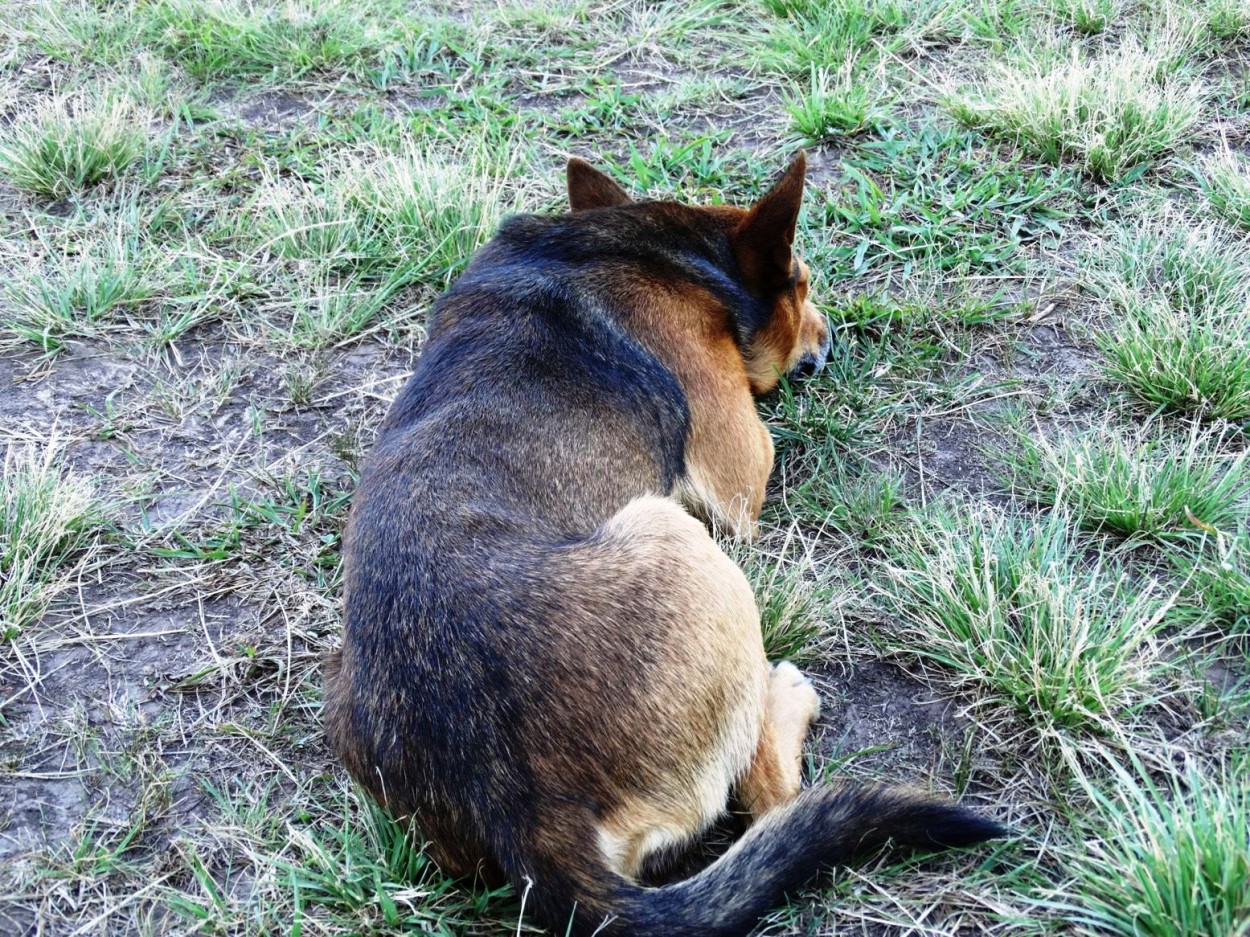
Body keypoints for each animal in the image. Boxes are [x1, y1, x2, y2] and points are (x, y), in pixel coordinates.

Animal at [322, 156, 1005, 937]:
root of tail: (527, 822)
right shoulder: (740, 472)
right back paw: (785, 702)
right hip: (682, 541)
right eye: (801, 284)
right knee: (769, 801)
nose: (830, 337)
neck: (643, 244)